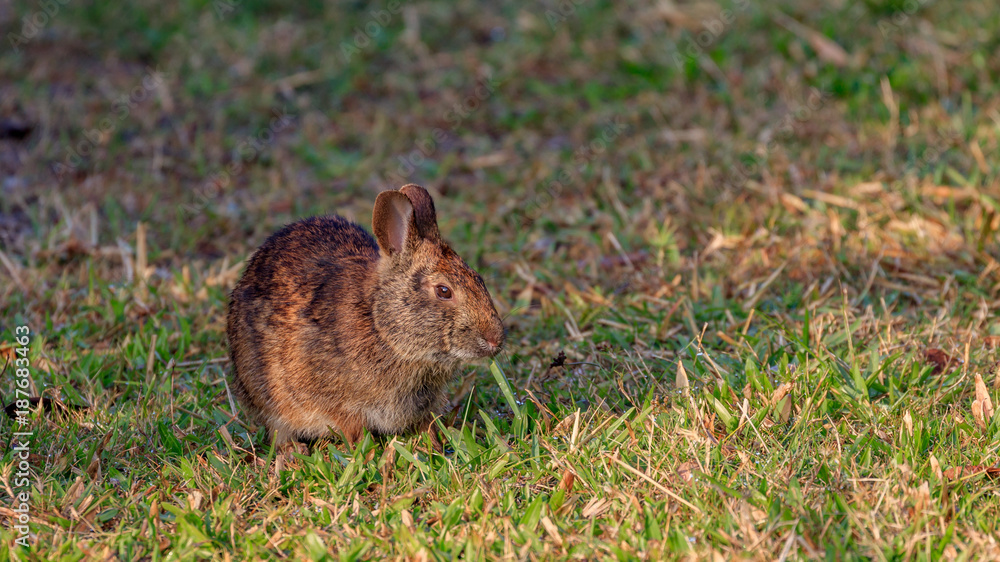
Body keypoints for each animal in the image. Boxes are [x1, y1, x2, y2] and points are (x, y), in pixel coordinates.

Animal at [226, 184, 505, 449]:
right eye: (444, 291)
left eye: (479, 279)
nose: (496, 340)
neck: (381, 326)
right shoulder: (340, 404)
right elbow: (353, 430)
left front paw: (434, 446)